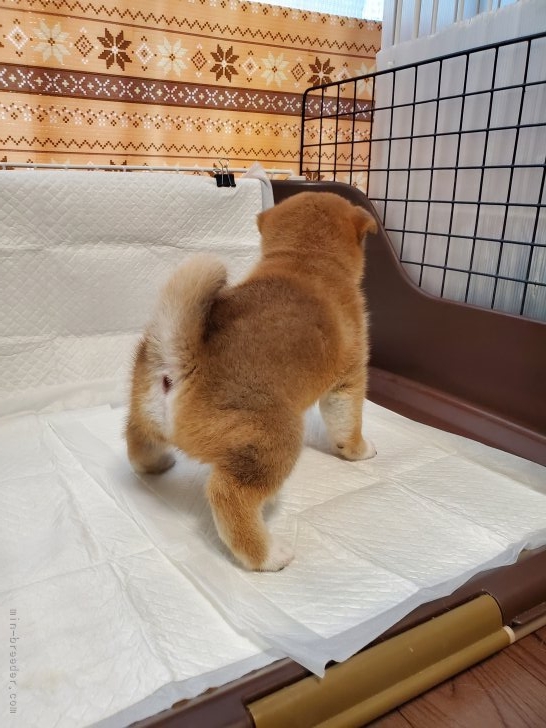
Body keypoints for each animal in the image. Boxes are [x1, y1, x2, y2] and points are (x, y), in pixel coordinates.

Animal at [126, 191, 377, 571]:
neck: (306, 259)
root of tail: (183, 364)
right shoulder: (347, 382)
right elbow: (348, 428)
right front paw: (361, 451)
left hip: (144, 415)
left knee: (137, 442)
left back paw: (156, 464)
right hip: (277, 438)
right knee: (229, 495)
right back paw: (268, 554)